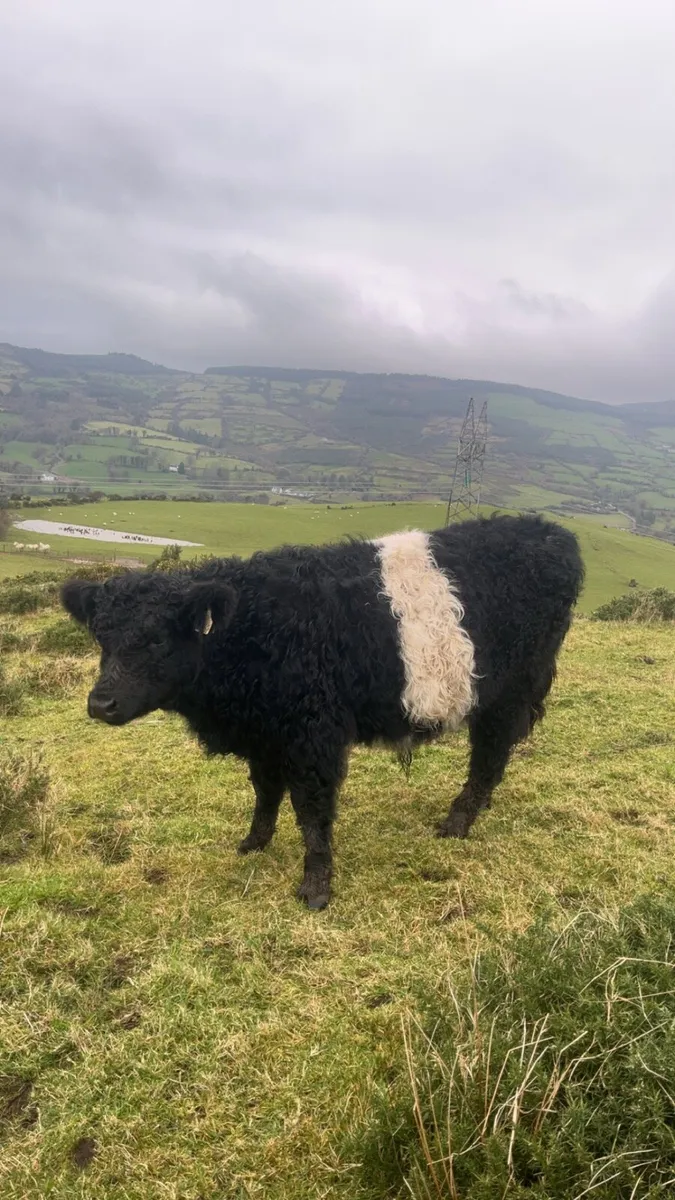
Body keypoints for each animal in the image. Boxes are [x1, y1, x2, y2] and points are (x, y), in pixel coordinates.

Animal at [61, 514, 584, 909]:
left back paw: (457, 823)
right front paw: (253, 843)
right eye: (101, 638)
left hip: (508, 691)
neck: (252, 631)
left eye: (155, 640)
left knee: (489, 756)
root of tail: (550, 531)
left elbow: (312, 812)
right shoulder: (266, 733)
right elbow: (266, 793)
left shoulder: (313, 736)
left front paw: (315, 888)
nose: (100, 704)